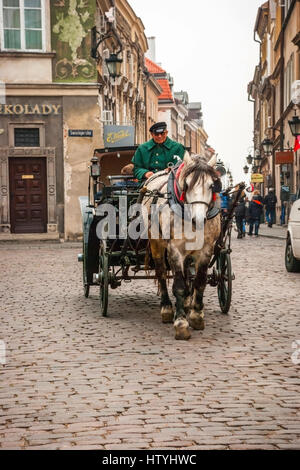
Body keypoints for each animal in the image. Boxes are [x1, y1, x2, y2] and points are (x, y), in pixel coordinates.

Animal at [142, 152, 221, 340]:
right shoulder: (175, 250)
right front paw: (181, 323)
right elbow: (178, 286)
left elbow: (199, 281)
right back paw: (166, 308)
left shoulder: (206, 249)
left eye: (212, 185)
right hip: (156, 243)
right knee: (162, 273)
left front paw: (196, 315)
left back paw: (186, 304)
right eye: (186, 184)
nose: (198, 220)